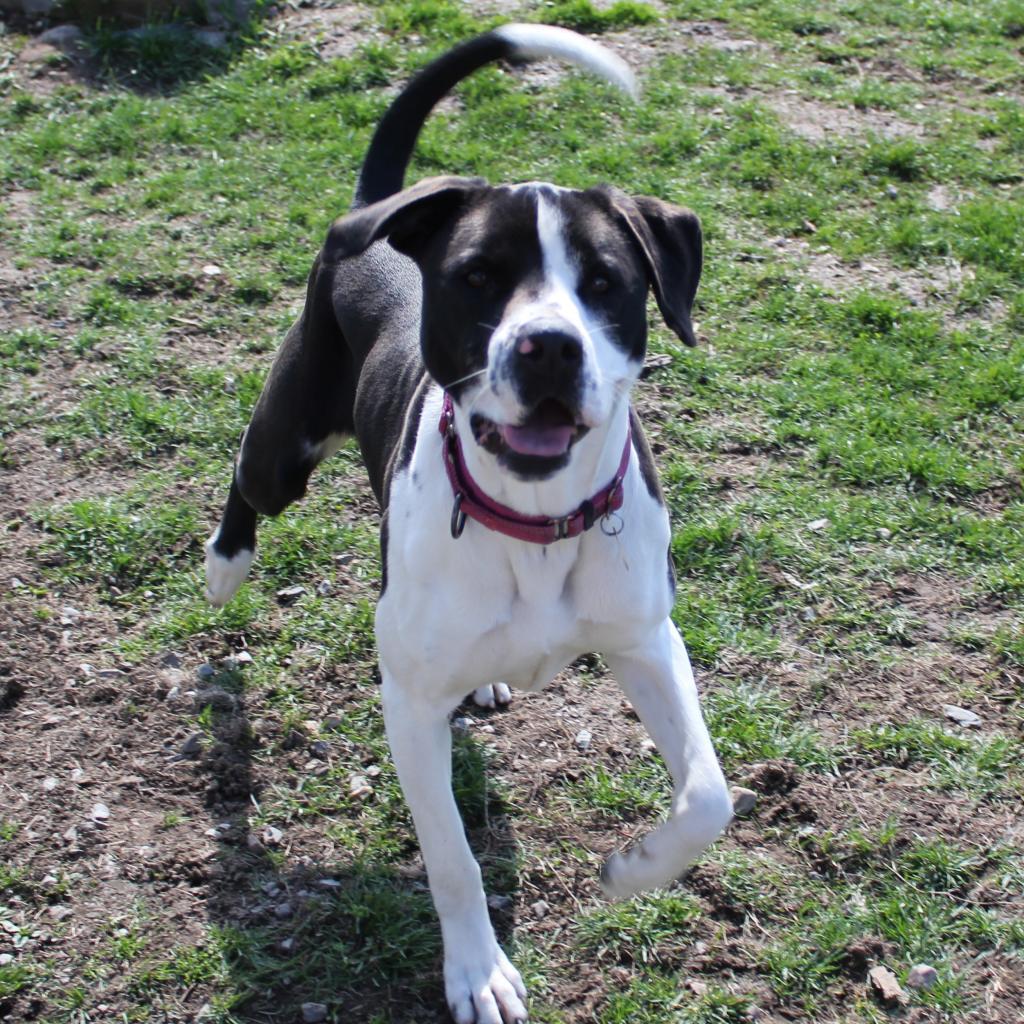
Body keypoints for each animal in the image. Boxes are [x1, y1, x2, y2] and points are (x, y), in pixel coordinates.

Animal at [205, 24, 737, 1024]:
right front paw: (477, 971)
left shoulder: (647, 640)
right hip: (285, 446)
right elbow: (450, 859)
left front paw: (635, 869)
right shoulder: (408, 707)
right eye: (479, 278)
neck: (533, 522)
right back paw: (225, 566)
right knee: (246, 479)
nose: (549, 346)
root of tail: (376, 215)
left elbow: (709, 798)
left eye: (606, 283)